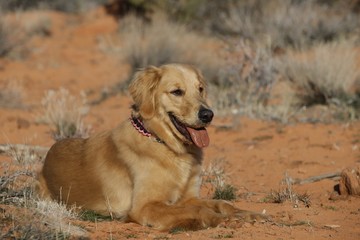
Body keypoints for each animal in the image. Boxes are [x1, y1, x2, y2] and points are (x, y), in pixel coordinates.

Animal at [38, 63, 266, 231]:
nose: (208, 114)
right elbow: (199, 211)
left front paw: (245, 213)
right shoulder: (145, 207)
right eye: (177, 92)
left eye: (200, 89)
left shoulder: (189, 197)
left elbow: (221, 203)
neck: (167, 146)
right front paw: (221, 220)